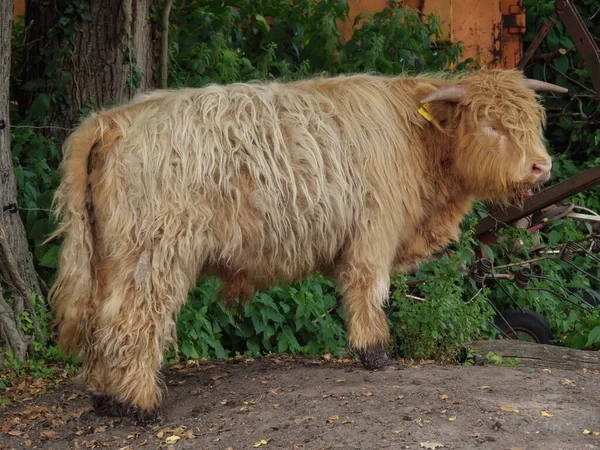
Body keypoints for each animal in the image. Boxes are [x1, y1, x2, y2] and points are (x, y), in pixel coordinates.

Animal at [49, 68, 564, 416]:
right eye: (490, 124)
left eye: (532, 120)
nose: (542, 166)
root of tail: (113, 119)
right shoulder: (373, 230)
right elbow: (368, 290)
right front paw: (375, 352)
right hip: (156, 249)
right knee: (133, 318)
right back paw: (140, 403)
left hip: (108, 252)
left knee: (97, 315)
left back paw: (105, 397)